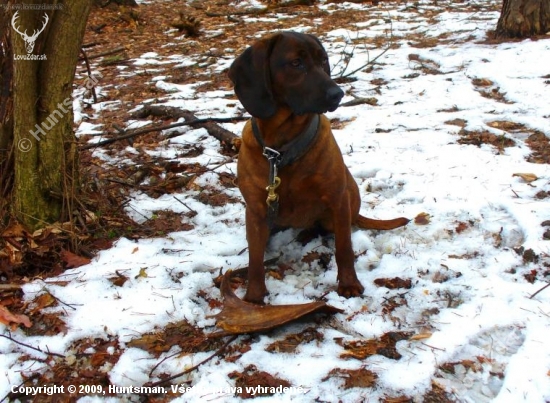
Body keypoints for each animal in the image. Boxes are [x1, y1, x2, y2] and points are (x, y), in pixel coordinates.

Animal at [229, 31, 410, 304]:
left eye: (323, 60)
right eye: (296, 63)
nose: (338, 94)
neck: (282, 152)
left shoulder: (337, 199)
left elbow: (344, 248)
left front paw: (349, 284)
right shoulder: (256, 211)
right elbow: (254, 260)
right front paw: (253, 298)